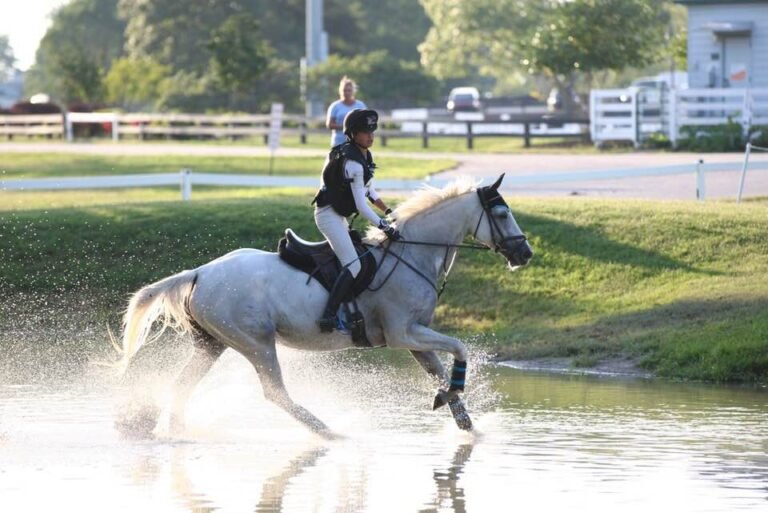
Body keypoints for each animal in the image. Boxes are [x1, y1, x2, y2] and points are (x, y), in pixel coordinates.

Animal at [114, 174, 533, 437]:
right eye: (501, 214)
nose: (524, 254)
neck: (411, 253)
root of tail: (200, 272)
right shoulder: (403, 334)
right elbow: (458, 349)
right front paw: (452, 399)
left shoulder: (415, 338)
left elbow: (441, 372)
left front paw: (464, 421)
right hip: (256, 343)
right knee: (275, 393)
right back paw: (329, 431)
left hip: (213, 343)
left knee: (182, 386)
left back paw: (174, 431)